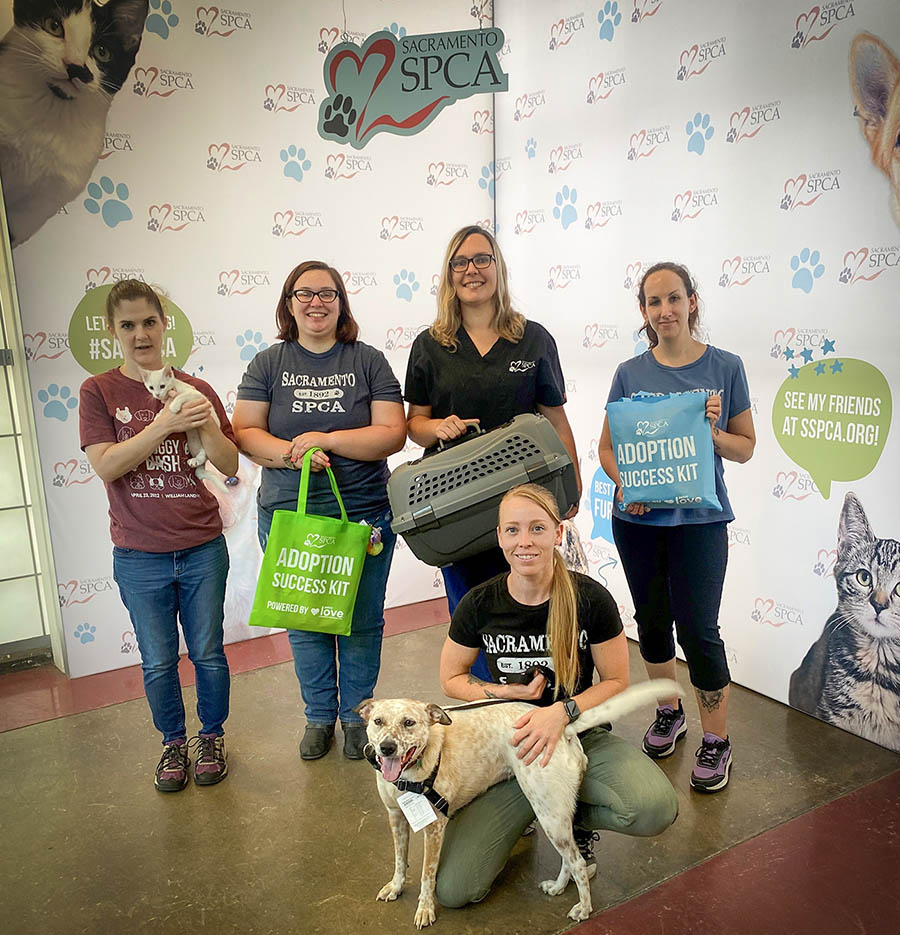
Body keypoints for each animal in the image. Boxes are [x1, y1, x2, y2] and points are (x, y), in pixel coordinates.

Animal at [139, 364, 230, 496]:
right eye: (151, 387)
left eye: (162, 386)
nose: (157, 394)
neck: (174, 387)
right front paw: (158, 415)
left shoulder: (196, 395)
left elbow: (181, 396)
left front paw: (174, 406)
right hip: (193, 443)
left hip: (209, 441)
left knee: (205, 454)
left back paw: (197, 459)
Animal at [358, 678, 679, 928]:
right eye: (378, 722)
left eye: (409, 723)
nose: (387, 748)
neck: (412, 769)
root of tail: (562, 728)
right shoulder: (395, 816)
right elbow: (400, 860)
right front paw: (397, 886)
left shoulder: (434, 829)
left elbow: (427, 875)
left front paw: (425, 909)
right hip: (554, 814)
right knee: (570, 857)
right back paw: (558, 887)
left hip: (549, 813)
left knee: (575, 861)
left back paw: (584, 908)